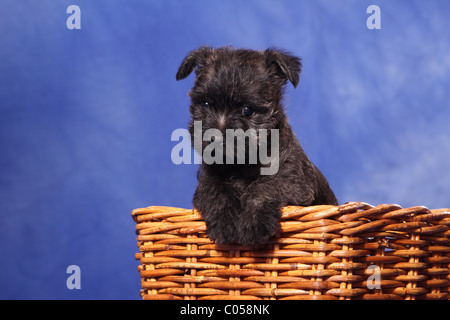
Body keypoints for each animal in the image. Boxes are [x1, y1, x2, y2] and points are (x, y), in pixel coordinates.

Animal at [176, 45, 338, 245]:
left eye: (248, 110)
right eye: (205, 104)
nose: (214, 138)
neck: (242, 163)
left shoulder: (292, 179)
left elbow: (263, 188)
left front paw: (253, 224)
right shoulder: (208, 178)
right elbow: (217, 191)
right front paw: (224, 222)